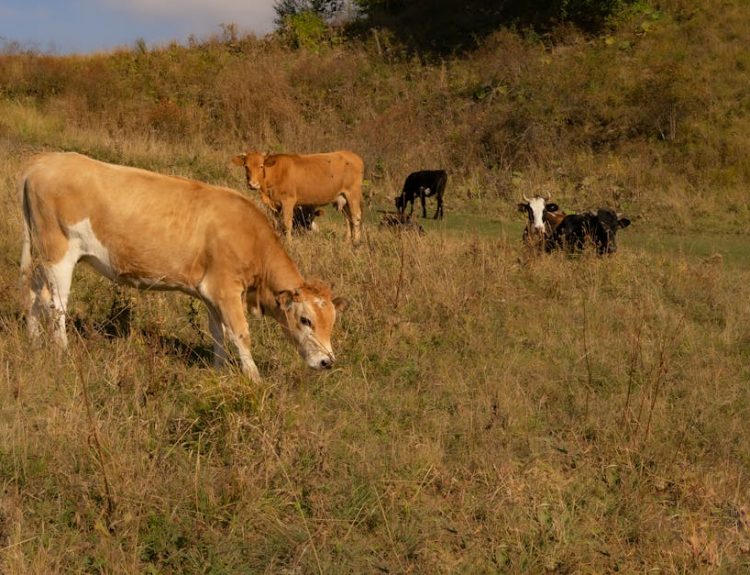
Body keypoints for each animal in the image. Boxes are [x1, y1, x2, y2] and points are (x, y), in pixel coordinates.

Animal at [19, 152, 347, 382]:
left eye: (331, 321)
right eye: (305, 320)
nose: (327, 362)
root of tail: (43, 161)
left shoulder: (211, 293)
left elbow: (218, 334)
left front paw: (219, 372)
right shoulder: (226, 289)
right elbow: (240, 334)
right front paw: (255, 381)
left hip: (41, 253)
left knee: (34, 293)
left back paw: (33, 341)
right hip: (58, 252)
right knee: (56, 305)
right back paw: (62, 353)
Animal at [232, 150, 364, 243]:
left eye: (261, 166)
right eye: (246, 166)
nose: (252, 184)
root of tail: (353, 155)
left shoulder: (288, 201)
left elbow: (287, 223)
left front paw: (289, 242)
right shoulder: (274, 205)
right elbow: (276, 223)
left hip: (353, 194)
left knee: (356, 217)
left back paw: (356, 242)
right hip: (343, 198)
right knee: (348, 219)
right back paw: (347, 241)